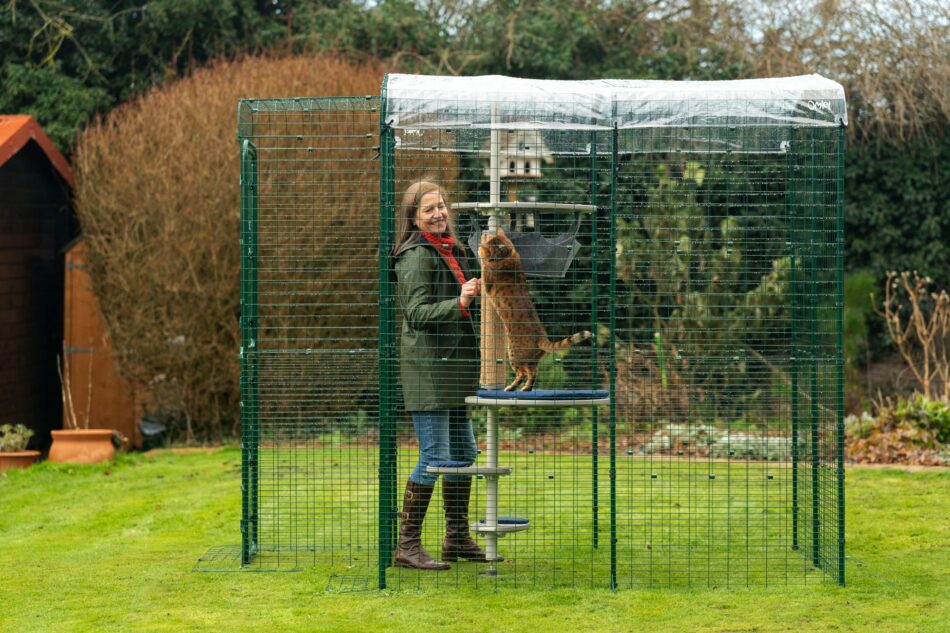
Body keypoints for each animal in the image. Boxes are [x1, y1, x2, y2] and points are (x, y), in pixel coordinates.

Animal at [480, 227, 592, 390]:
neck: (509, 257)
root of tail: (541, 338)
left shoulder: (488, 281)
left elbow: (484, 267)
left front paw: (481, 251)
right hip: (532, 360)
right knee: (533, 373)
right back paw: (525, 389)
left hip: (513, 353)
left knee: (523, 374)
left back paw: (512, 388)